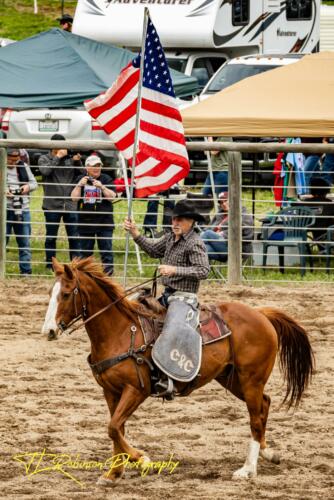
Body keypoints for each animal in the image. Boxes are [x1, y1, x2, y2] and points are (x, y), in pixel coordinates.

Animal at [40, 260, 314, 486]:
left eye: (66, 294)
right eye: (51, 294)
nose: (49, 331)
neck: (121, 331)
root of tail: (261, 314)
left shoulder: (137, 389)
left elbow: (114, 428)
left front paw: (142, 459)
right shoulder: (110, 391)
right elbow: (116, 430)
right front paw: (114, 473)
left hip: (251, 380)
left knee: (255, 418)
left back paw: (247, 469)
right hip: (232, 379)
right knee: (264, 404)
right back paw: (269, 453)